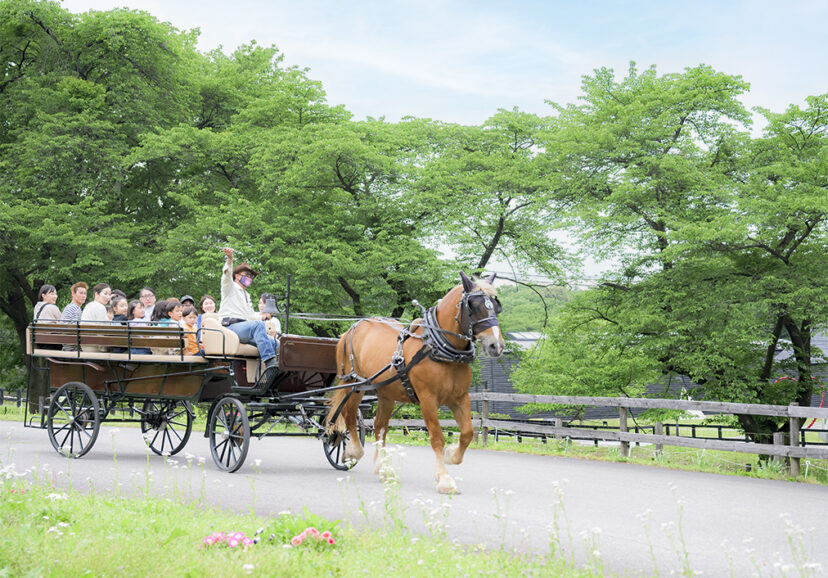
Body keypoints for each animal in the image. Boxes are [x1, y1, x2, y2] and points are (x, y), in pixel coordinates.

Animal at [328, 270, 508, 490]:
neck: (439, 348)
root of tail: (353, 328)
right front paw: (444, 479)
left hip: (386, 392)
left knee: (380, 427)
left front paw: (451, 456)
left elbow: (467, 433)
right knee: (350, 415)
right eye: (473, 306)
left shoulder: (459, 397)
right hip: (353, 384)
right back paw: (354, 452)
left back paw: (382, 468)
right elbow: (437, 437)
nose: (496, 346)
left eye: (496, 306)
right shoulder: (427, 399)